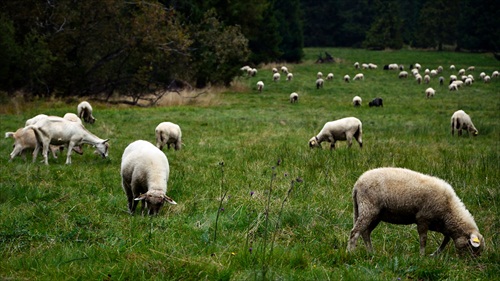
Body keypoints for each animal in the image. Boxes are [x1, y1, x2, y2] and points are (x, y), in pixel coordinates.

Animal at [348, 166, 484, 256]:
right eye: (472, 248)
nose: (471, 264)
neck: (450, 210)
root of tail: (357, 183)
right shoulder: (423, 218)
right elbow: (423, 239)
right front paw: (422, 256)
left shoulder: (440, 224)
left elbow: (446, 239)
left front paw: (435, 254)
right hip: (368, 208)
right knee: (355, 232)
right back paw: (350, 253)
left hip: (375, 214)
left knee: (365, 232)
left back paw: (371, 253)